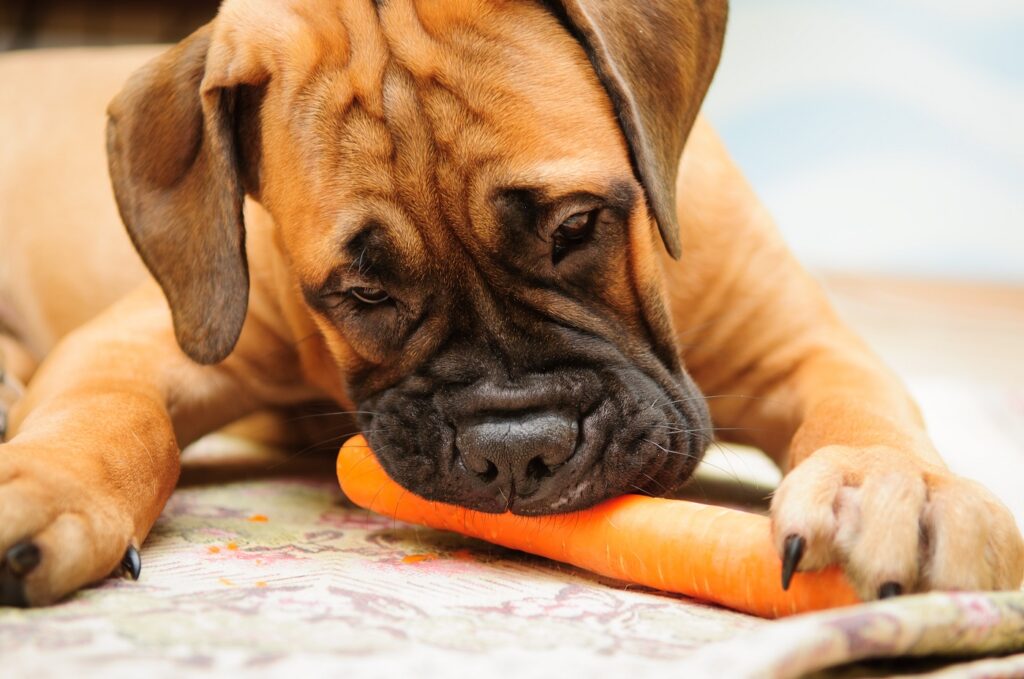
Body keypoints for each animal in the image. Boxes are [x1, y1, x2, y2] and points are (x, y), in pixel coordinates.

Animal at [2, 0, 1024, 606]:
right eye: (362, 291)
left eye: (576, 225)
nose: (517, 452)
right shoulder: (148, 335)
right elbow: (110, 414)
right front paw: (50, 482)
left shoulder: (803, 344)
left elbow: (861, 409)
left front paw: (893, 488)